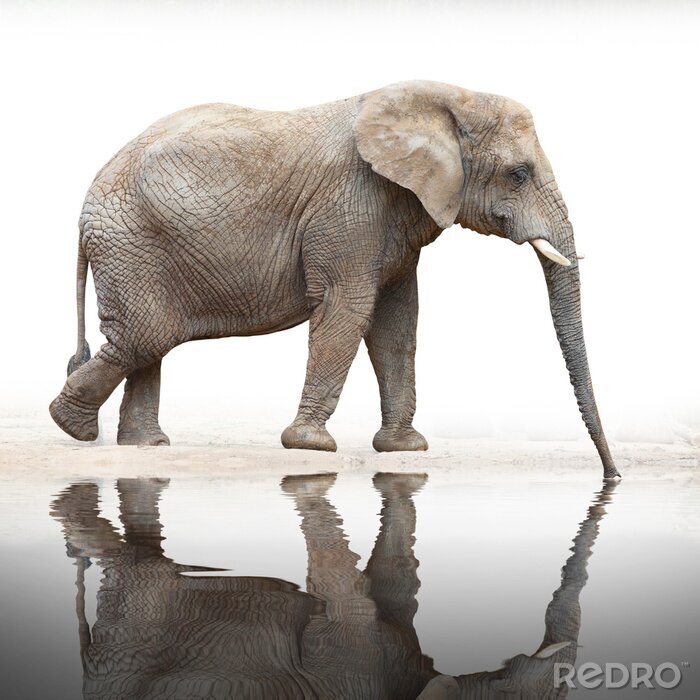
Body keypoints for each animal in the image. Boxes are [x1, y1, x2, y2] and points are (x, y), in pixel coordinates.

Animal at [48, 80, 619, 478]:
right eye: (518, 174)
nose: (612, 476)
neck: (443, 99)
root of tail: (85, 202)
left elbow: (396, 323)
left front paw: (405, 450)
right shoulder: (349, 205)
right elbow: (349, 309)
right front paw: (311, 446)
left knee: (150, 341)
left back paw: (144, 446)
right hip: (131, 243)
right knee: (145, 337)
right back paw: (71, 427)